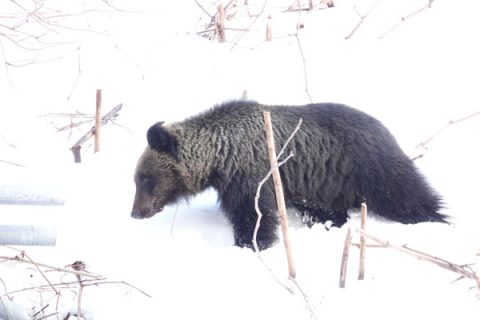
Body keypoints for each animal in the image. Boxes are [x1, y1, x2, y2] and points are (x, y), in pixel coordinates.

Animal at [130, 100, 446, 250]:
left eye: (145, 177)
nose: (136, 212)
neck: (222, 156)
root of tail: (385, 127)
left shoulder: (253, 179)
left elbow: (254, 219)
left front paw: (252, 244)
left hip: (371, 169)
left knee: (408, 197)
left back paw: (437, 219)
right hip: (326, 187)